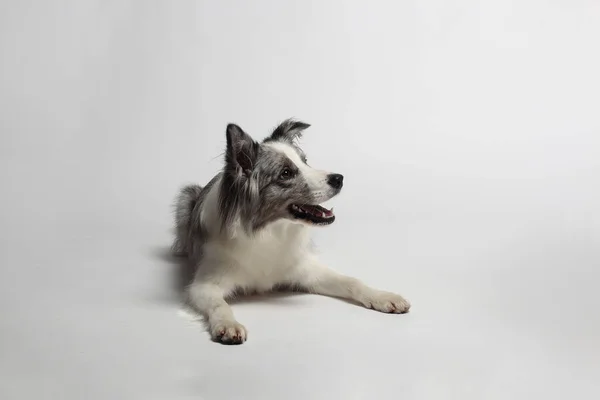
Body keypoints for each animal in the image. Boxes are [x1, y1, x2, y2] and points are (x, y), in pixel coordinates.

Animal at [171, 119, 410, 344]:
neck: (269, 232)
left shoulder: (305, 269)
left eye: (305, 162)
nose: (339, 178)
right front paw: (228, 325)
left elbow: (351, 281)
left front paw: (382, 296)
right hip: (186, 197)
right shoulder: (203, 286)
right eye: (286, 173)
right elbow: (219, 304)